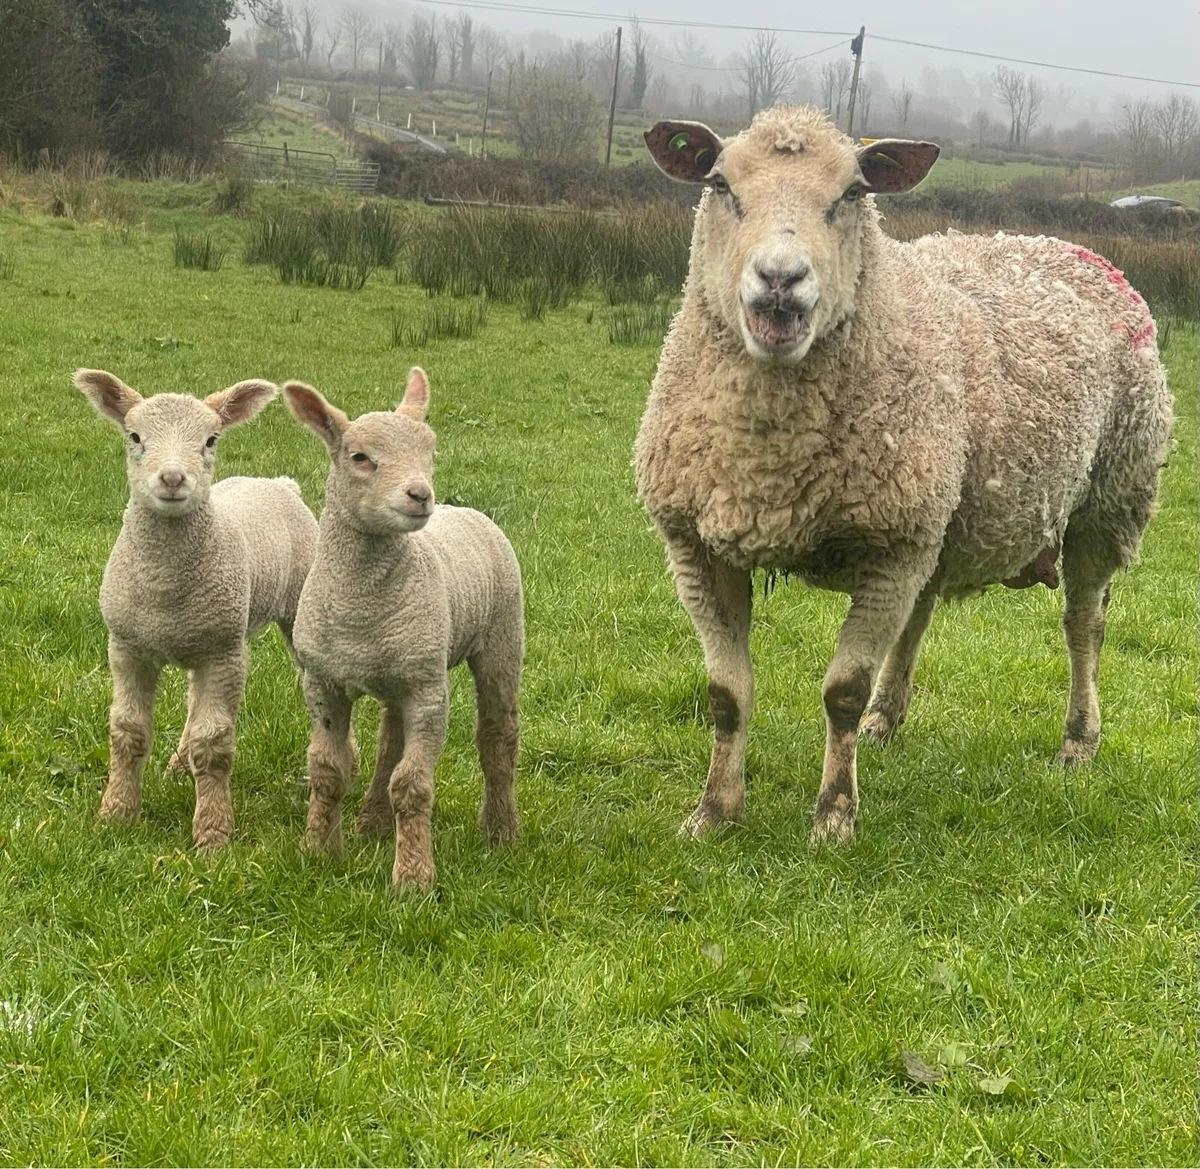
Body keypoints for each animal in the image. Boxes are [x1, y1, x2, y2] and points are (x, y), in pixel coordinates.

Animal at [76, 369, 318, 849]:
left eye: (210, 440)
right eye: (134, 436)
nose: (172, 478)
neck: (165, 588)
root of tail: (280, 483)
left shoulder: (221, 653)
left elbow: (216, 744)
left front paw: (213, 833)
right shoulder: (126, 646)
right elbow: (127, 731)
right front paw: (116, 814)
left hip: (290, 610)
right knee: (192, 701)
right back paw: (177, 764)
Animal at [282, 368, 524, 890]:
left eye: (430, 452)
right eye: (359, 457)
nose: (420, 495)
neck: (362, 607)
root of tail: (463, 510)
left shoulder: (428, 689)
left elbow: (413, 784)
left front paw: (413, 875)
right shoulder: (322, 681)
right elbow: (327, 770)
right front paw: (318, 849)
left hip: (501, 637)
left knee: (498, 737)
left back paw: (500, 830)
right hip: (398, 673)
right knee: (389, 743)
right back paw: (372, 822)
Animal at [636, 106, 1173, 843]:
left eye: (852, 193)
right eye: (720, 184)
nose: (780, 279)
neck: (771, 464)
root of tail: (1067, 248)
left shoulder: (890, 548)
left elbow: (840, 691)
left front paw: (834, 816)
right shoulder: (696, 544)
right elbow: (725, 694)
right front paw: (713, 812)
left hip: (1108, 499)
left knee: (1083, 623)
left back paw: (1078, 740)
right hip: (932, 520)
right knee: (920, 616)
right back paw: (883, 722)